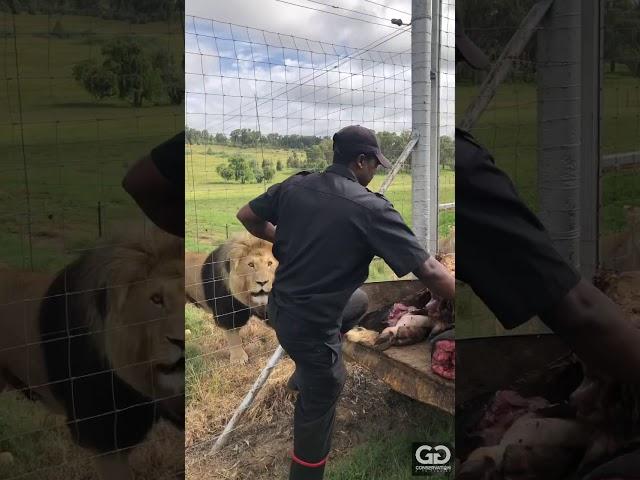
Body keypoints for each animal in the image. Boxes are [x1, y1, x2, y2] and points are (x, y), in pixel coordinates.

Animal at [184, 232, 276, 364]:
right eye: (251, 265)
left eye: (269, 263)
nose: (262, 282)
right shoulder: (227, 312)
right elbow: (233, 336)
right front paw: (239, 359)